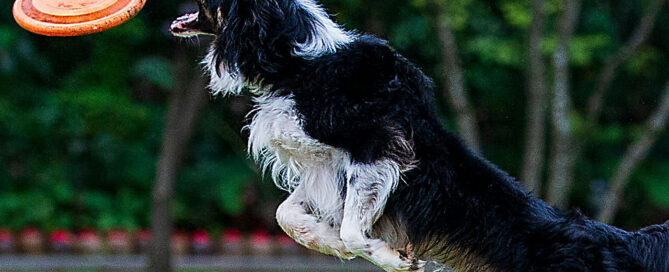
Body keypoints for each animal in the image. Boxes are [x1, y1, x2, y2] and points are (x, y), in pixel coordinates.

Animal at [168, 1, 668, 270]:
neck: (297, 63)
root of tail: (620, 240)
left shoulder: (379, 148)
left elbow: (352, 228)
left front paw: (388, 256)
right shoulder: (322, 166)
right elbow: (286, 215)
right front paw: (326, 240)